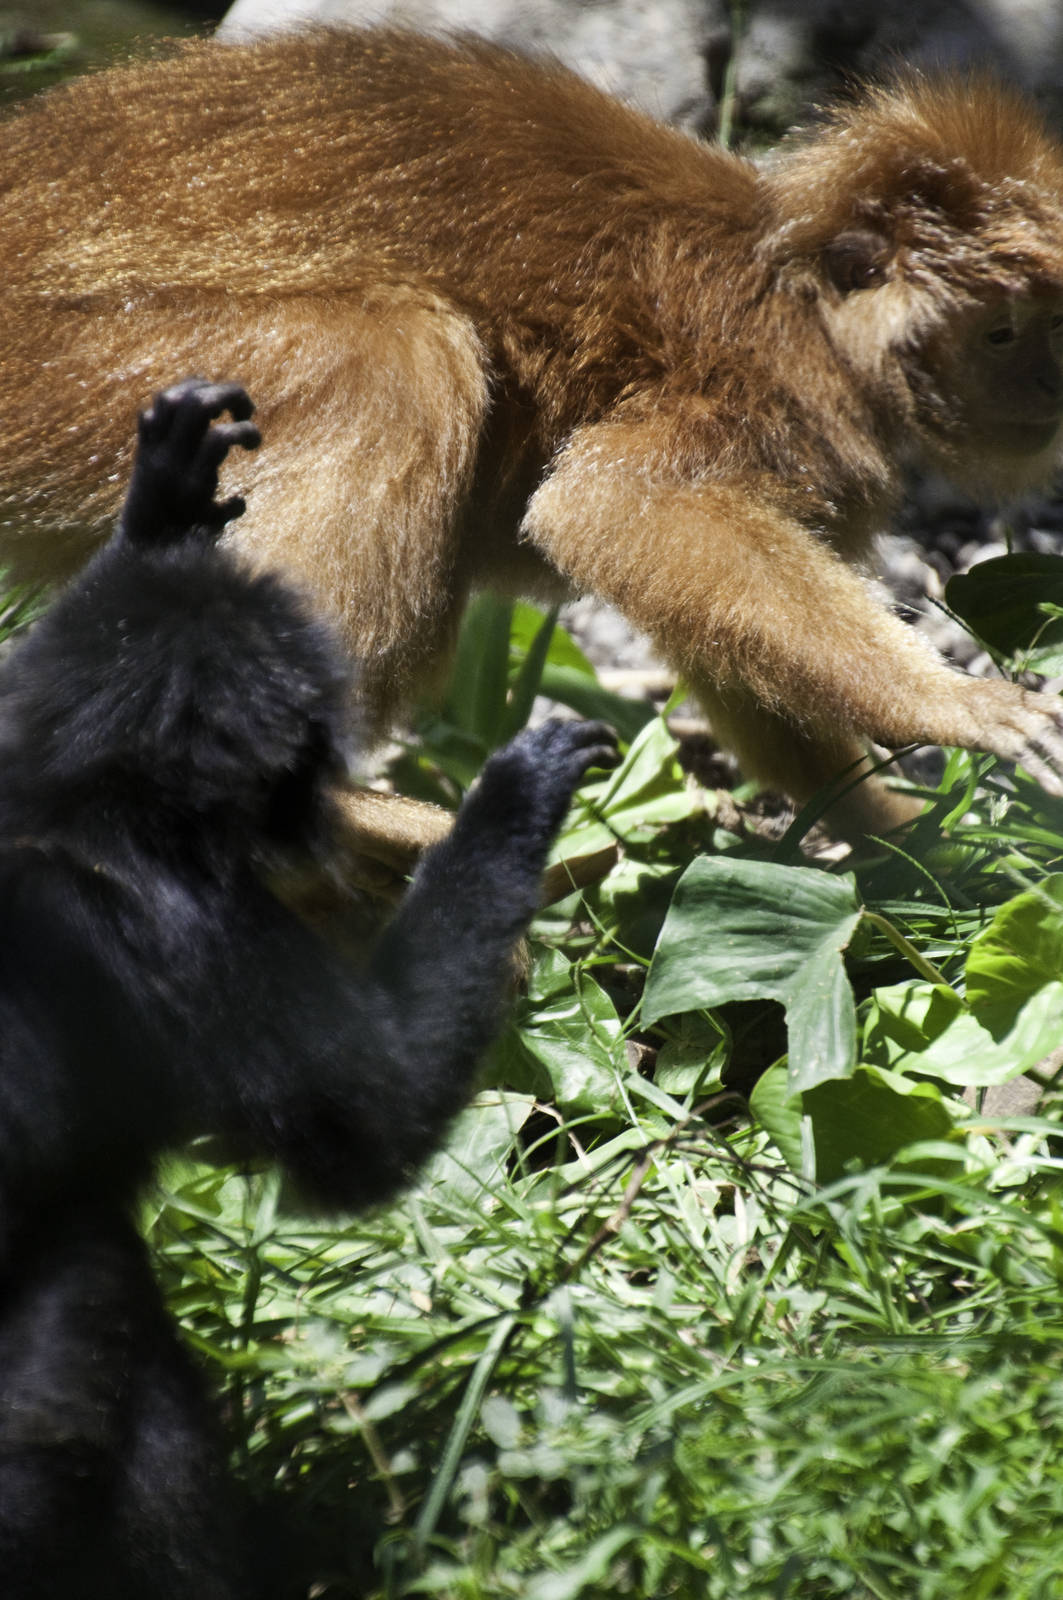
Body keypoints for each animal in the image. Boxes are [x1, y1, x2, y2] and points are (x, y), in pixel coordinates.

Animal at [0, 376, 615, 1598]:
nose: (321, 804)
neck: (74, 806)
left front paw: (164, 504)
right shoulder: (205, 933)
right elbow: (368, 1131)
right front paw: (511, 803)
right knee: (99, 1298)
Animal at [1, 29, 1063, 844]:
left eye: (1045, 323)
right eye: (1001, 331)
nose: (1048, 389)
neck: (801, 293)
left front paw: (905, 845)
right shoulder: (779, 392)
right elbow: (611, 507)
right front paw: (952, 710)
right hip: (70, 376)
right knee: (397, 365)